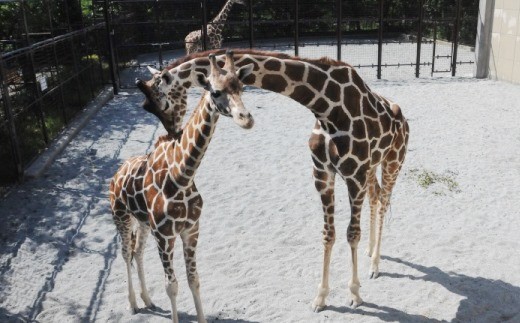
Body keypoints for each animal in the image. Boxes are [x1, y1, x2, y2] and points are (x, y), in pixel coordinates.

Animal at [108, 52, 255, 323]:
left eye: (241, 87)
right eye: (216, 92)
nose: (246, 119)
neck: (182, 177)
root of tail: (116, 174)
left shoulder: (191, 230)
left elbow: (194, 280)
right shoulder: (165, 236)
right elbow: (172, 286)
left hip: (142, 223)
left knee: (137, 252)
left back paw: (147, 299)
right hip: (120, 216)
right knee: (125, 252)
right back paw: (132, 304)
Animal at [142, 48, 410, 312]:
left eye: (158, 102)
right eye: (148, 107)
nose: (173, 134)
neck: (327, 107)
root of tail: (402, 117)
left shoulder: (354, 174)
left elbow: (352, 233)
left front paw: (354, 293)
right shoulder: (322, 173)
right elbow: (328, 234)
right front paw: (321, 297)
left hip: (393, 160)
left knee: (384, 201)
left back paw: (375, 265)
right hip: (372, 167)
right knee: (375, 197)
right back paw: (370, 252)